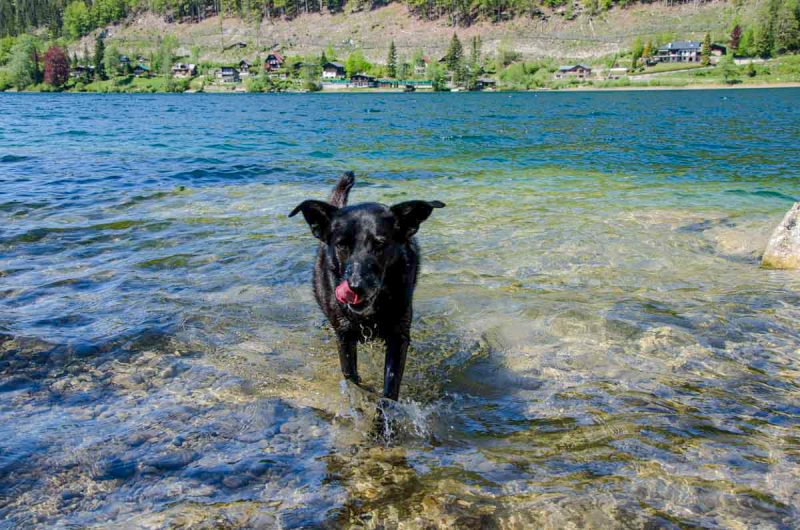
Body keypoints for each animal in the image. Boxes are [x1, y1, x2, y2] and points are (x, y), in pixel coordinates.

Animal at [290, 171, 446, 398]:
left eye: (380, 244)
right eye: (341, 245)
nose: (356, 286)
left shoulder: (398, 336)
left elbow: (390, 386)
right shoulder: (344, 337)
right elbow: (350, 376)